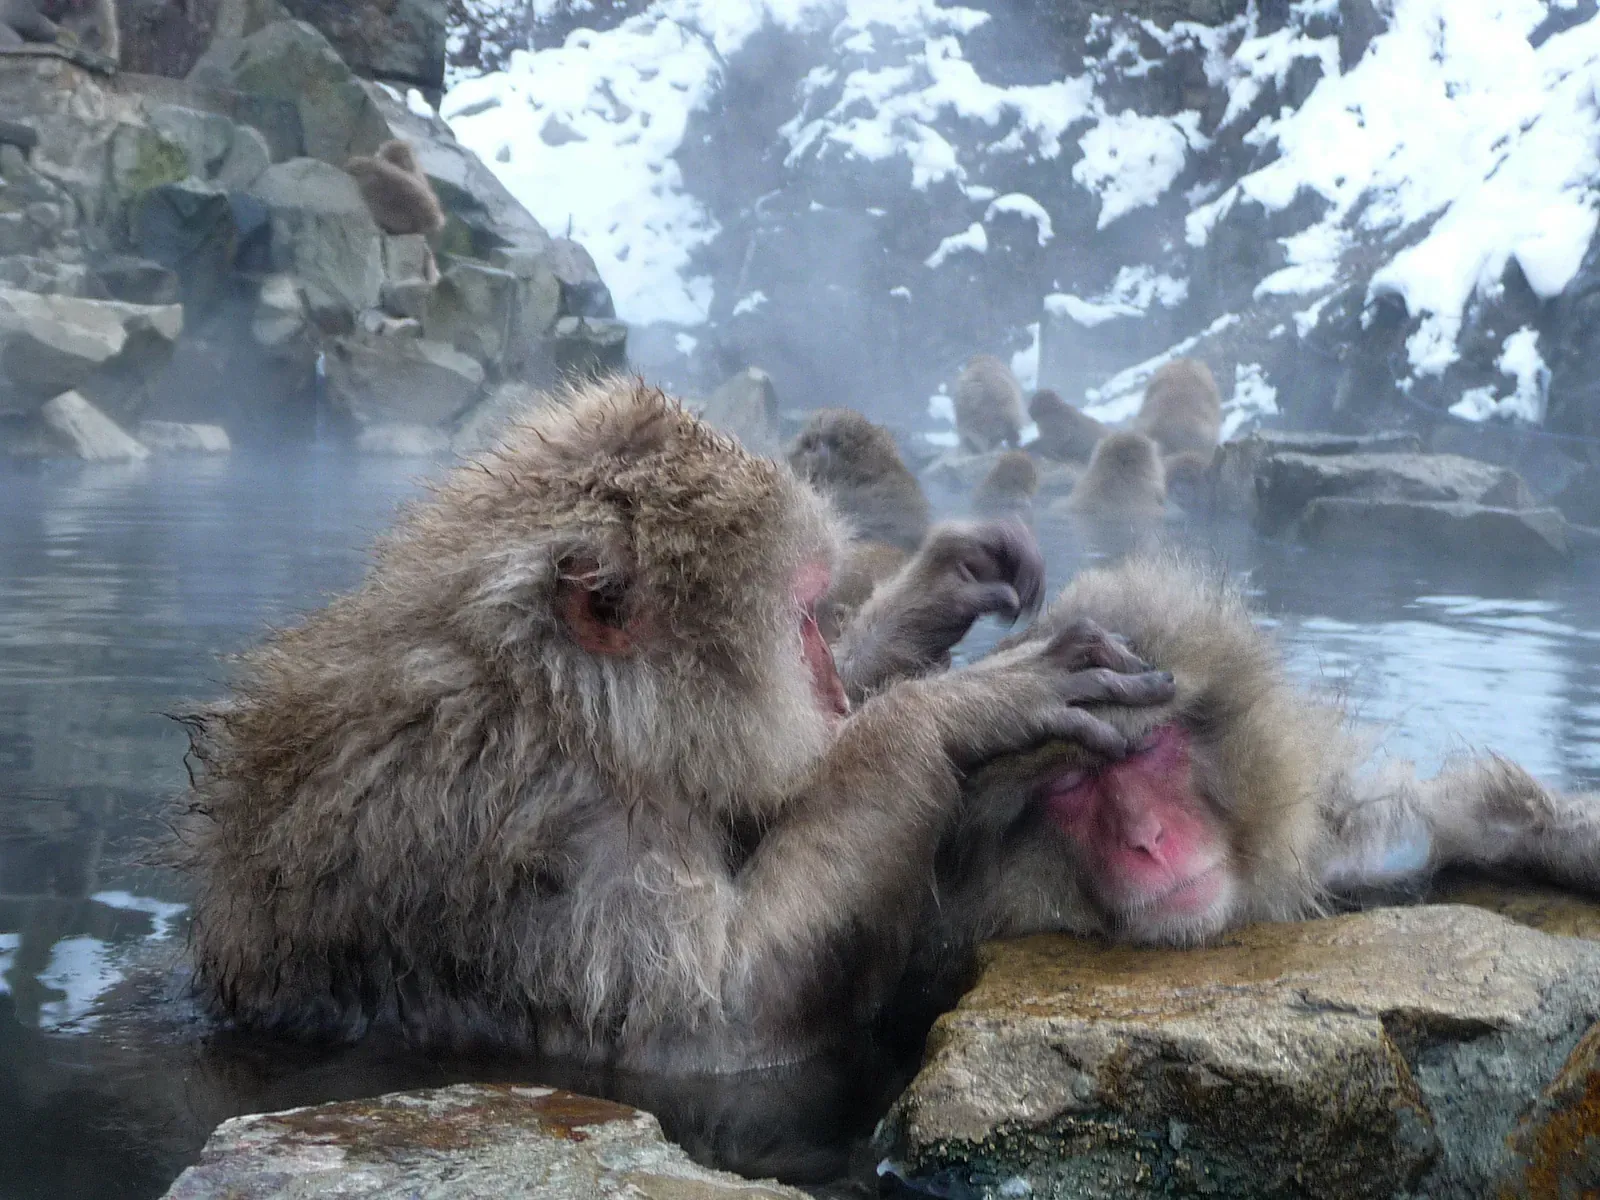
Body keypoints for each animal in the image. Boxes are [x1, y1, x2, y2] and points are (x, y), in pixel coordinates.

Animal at [174, 375, 1176, 1072]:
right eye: (799, 617)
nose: (823, 678)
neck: (562, 705)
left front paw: (936, 590)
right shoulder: (547, 826)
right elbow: (714, 1026)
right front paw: (953, 710)